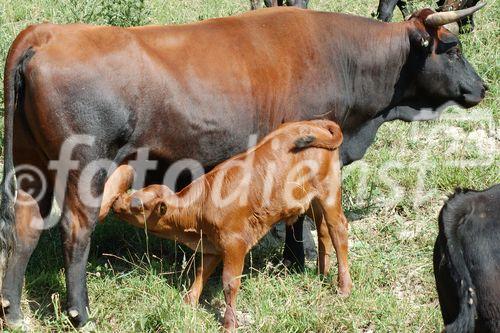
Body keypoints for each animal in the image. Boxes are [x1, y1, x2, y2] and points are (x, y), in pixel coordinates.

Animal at [101, 120, 352, 330]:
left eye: (137, 205)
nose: (117, 201)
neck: (200, 208)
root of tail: (315, 123)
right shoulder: (213, 245)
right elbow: (201, 272)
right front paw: (188, 301)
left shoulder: (235, 244)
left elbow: (229, 284)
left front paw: (229, 323)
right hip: (309, 201)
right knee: (323, 230)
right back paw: (321, 272)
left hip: (329, 194)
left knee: (338, 230)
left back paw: (344, 287)